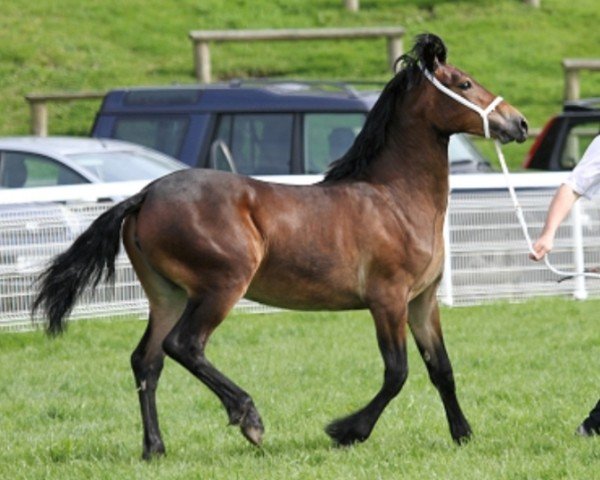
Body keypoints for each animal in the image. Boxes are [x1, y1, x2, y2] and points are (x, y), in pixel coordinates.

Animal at [35, 33, 528, 458]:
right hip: (220, 287)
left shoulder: (422, 301)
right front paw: (346, 431)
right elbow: (397, 373)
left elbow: (441, 368)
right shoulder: (387, 299)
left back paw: (154, 448)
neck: (394, 199)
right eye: (464, 83)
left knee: (147, 361)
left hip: (167, 295)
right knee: (185, 346)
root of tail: (144, 195)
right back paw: (249, 418)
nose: (518, 123)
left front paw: (463, 434)